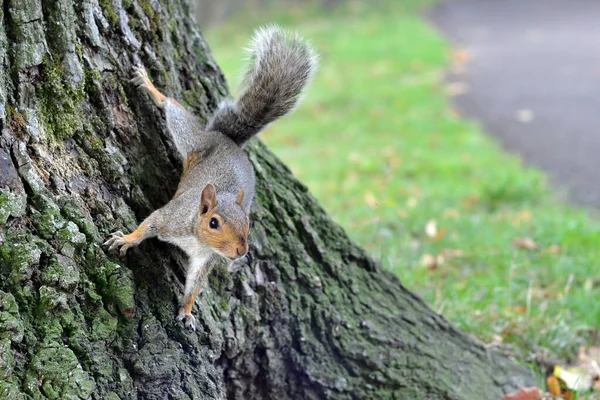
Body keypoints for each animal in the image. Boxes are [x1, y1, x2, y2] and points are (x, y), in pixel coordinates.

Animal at [103, 25, 318, 332]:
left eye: (248, 223)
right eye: (213, 223)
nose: (241, 251)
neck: (197, 238)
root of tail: (228, 141)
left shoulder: (206, 259)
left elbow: (195, 283)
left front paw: (187, 311)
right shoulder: (170, 218)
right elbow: (148, 224)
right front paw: (127, 240)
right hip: (192, 140)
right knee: (174, 108)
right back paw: (151, 87)